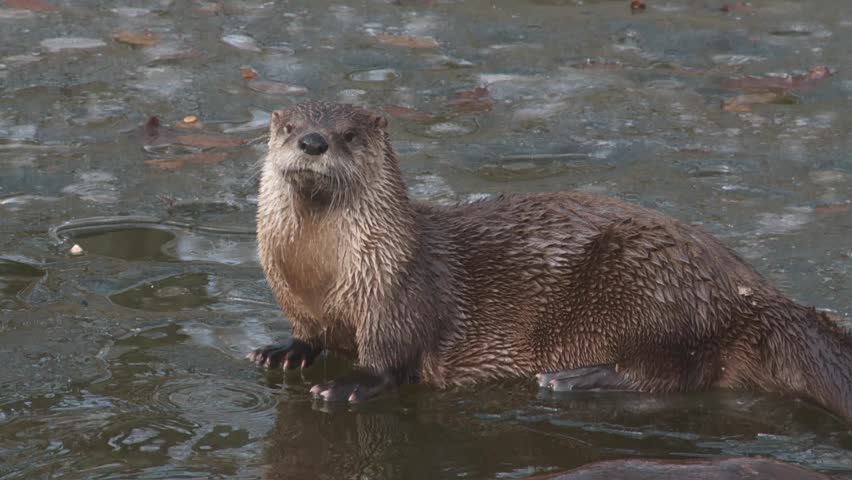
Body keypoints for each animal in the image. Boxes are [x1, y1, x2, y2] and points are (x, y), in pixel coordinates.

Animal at [248, 102, 852, 423]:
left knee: (678, 371)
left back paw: (575, 379)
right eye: (286, 128)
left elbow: (391, 358)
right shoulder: (297, 299)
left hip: (649, 281)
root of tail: (753, 294)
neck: (321, 276)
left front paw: (347, 385)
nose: (313, 141)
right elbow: (308, 334)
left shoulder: (395, 291)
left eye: (349, 135)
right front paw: (284, 351)